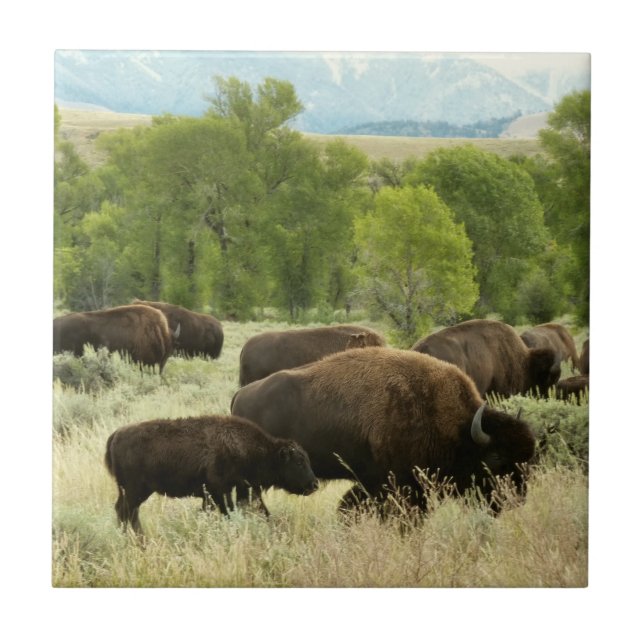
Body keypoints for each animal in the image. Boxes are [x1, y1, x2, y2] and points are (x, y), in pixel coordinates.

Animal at [104, 414, 319, 534]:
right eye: (299, 462)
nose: (314, 484)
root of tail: (116, 435)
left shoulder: (231, 491)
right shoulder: (220, 491)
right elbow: (228, 512)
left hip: (130, 491)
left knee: (125, 512)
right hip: (135, 491)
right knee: (127, 512)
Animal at [231, 347, 536, 514]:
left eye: (528, 459)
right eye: (495, 458)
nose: (517, 499)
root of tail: (240, 395)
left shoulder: (375, 481)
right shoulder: (401, 483)